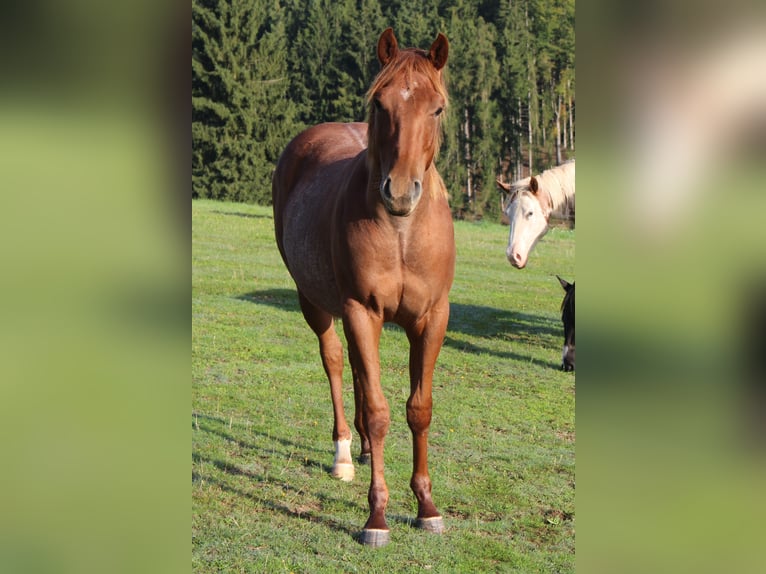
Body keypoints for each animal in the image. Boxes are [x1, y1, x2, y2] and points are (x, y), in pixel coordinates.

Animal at [272, 28, 454, 547]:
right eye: (381, 104)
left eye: (437, 109)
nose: (400, 192)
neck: (402, 233)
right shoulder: (360, 310)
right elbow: (377, 409)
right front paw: (378, 517)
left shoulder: (432, 318)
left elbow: (419, 409)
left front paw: (427, 507)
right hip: (315, 303)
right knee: (335, 361)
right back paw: (345, 454)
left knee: (354, 366)